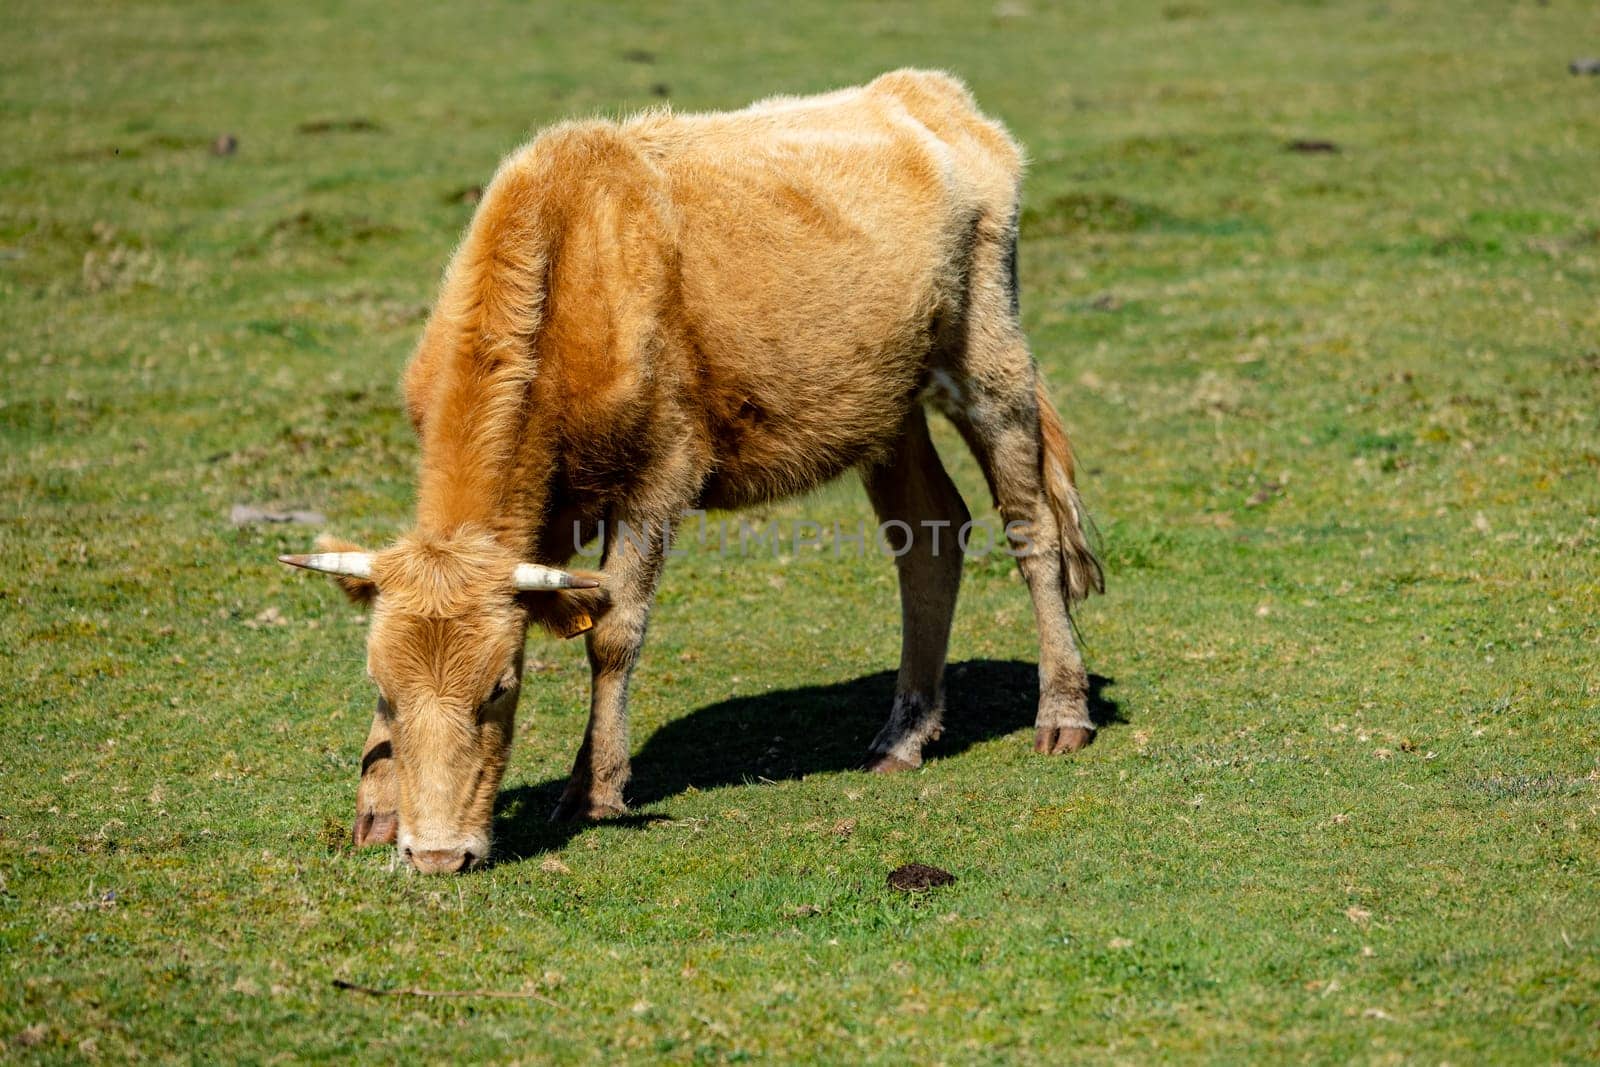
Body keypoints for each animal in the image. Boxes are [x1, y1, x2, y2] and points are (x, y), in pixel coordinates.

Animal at [281, 68, 1100, 876]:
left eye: (500, 689)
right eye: (383, 690)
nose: (438, 854)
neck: (571, 268)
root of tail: (926, 91)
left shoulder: (661, 475)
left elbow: (613, 630)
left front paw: (594, 788)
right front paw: (380, 807)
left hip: (989, 360)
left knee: (1030, 527)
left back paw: (1062, 711)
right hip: (886, 406)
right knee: (930, 536)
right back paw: (903, 735)